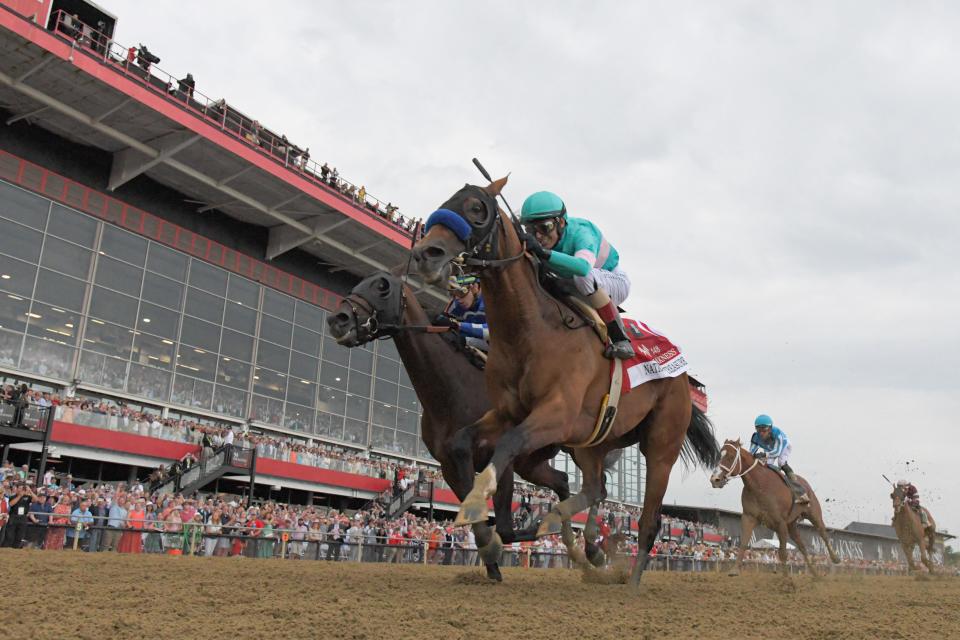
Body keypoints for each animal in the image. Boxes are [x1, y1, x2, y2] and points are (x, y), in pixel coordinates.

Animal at [326, 272, 604, 576]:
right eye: (359, 284)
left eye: (382, 287)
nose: (338, 319)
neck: (451, 390)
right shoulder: (450, 466)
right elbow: (480, 519)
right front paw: (492, 562)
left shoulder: (501, 456)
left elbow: (504, 527)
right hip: (532, 462)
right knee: (564, 480)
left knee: (597, 486)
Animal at [408, 178, 716, 588]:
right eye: (447, 201)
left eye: (476, 208)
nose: (426, 253)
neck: (531, 329)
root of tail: (682, 373)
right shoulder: (507, 411)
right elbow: (461, 441)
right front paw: (490, 530)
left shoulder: (556, 412)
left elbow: (509, 443)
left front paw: (476, 504)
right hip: (594, 441)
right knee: (595, 488)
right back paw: (579, 539)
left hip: (661, 444)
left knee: (649, 520)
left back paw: (629, 579)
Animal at [704, 440, 840, 576]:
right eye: (719, 456)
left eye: (731, 457)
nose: (715, 479)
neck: (760, 485)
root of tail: (805, 484)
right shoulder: (749, 517)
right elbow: (743, 543)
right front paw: (734, 570)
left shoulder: (780, 523)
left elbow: (783, 553)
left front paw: (785, 577)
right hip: (791, 525)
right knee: (802, 546)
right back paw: (815, 574)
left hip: (813, 514)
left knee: (823, 534)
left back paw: (835, 558)